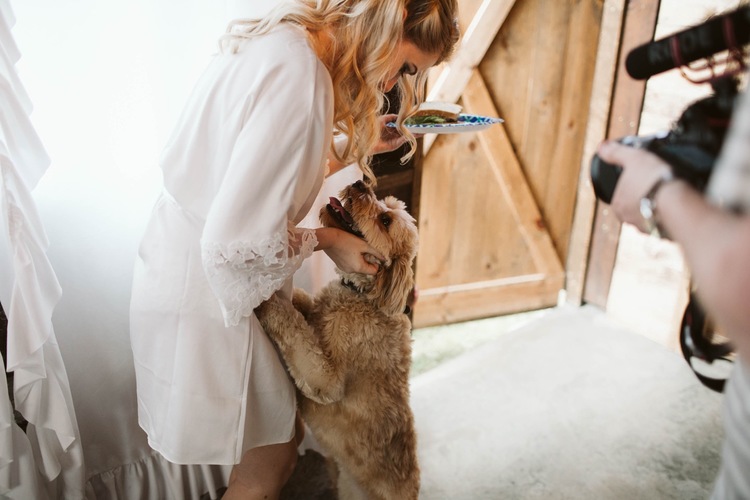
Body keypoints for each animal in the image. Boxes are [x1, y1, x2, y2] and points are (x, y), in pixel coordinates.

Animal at [258, 181, 424, 500]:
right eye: (385, 204)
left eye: (385, 221)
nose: (360, 183)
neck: (363, 298)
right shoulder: (315, 312)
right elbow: (301, 304)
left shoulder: (326, 380)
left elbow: (293, 327)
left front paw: (266, 300)